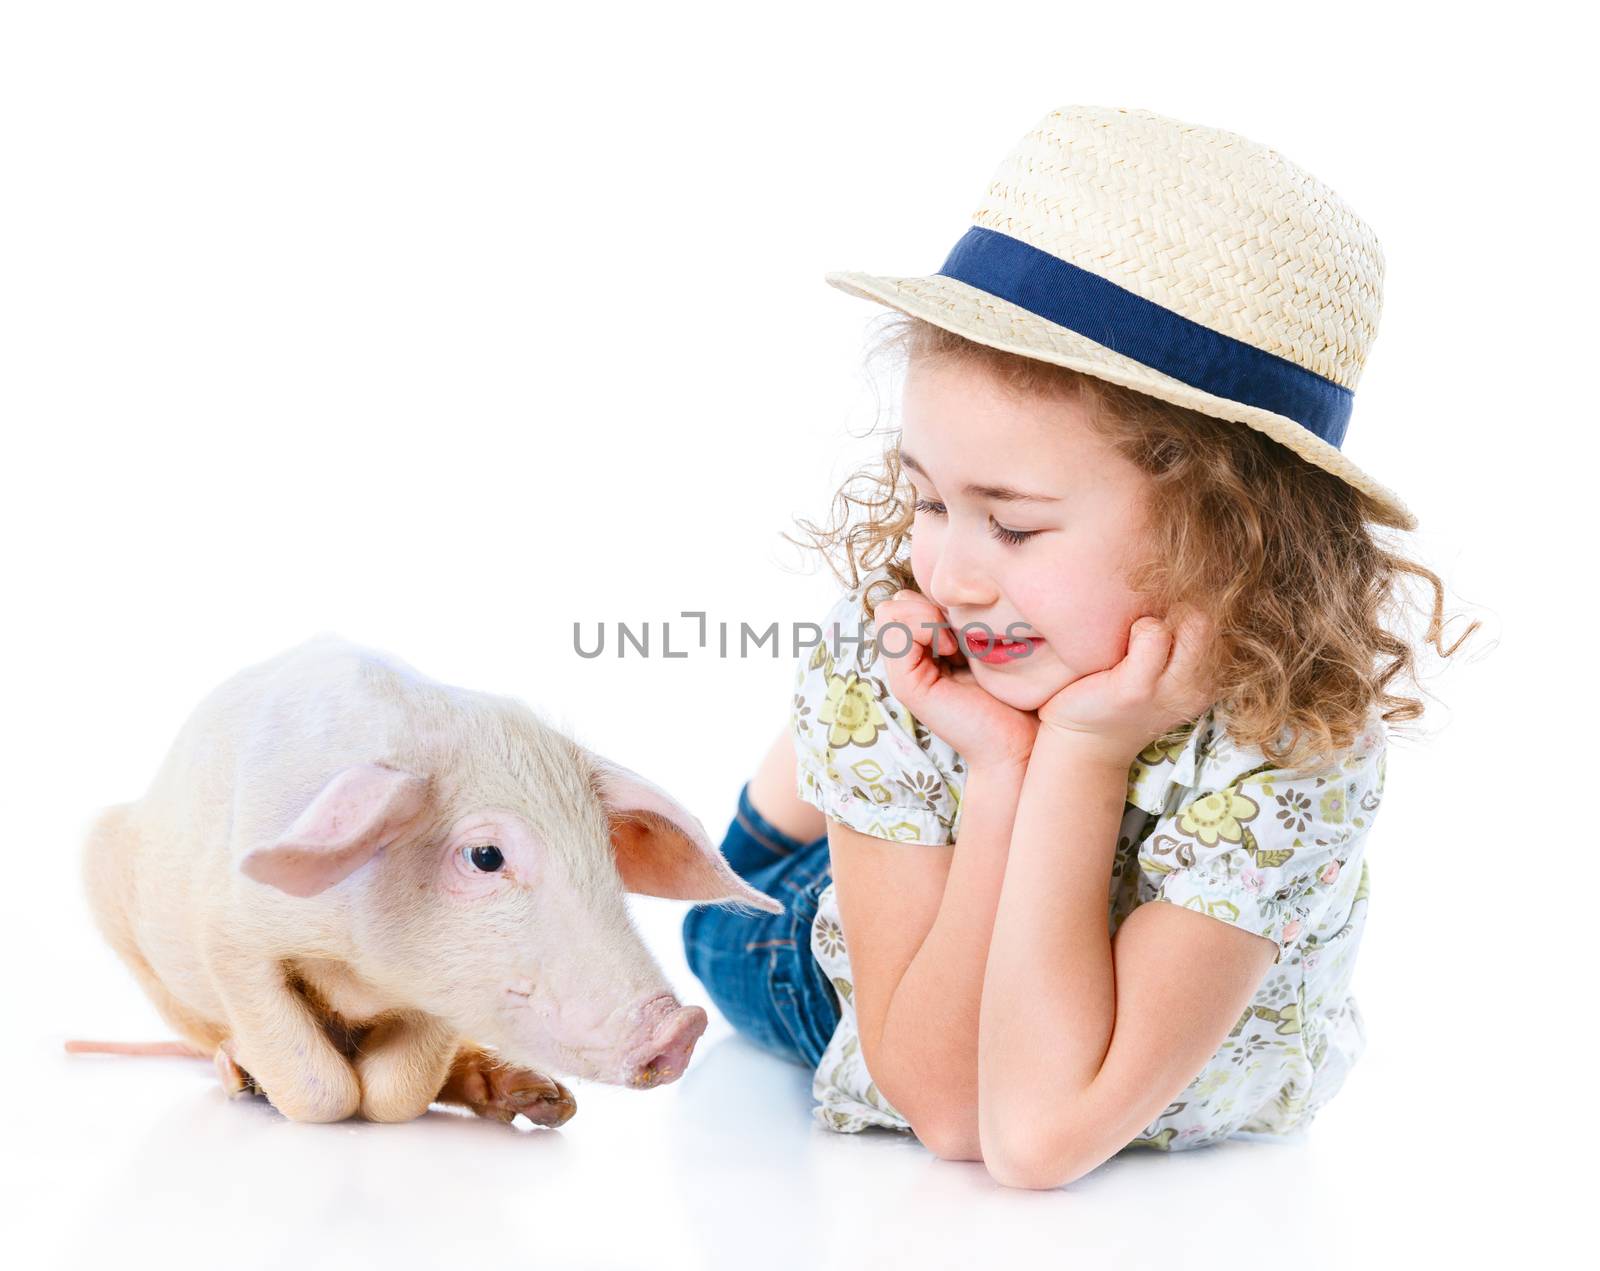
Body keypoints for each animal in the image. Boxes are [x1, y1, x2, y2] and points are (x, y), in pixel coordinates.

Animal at [79, 633, 780, 1120]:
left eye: (602, 853)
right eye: (486, 856)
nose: (683, 1025)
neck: (363, 976)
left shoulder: (450, 987)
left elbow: (399, 1088)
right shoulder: (228, 936)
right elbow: (322, 1086)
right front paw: (273, 1084)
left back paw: (541, 1100)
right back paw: (239, 1077)